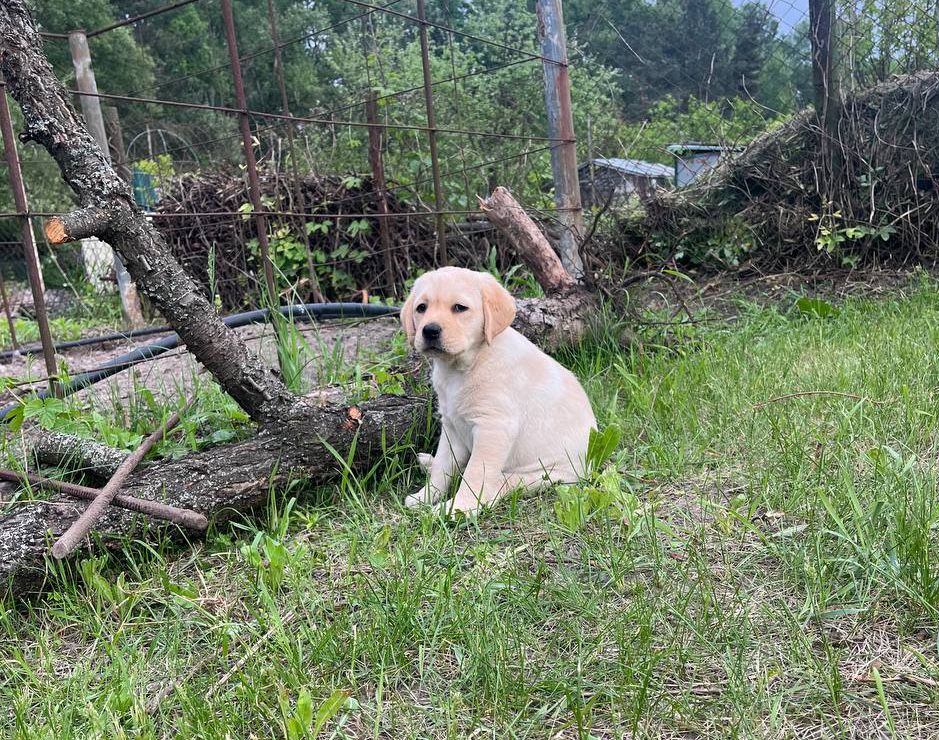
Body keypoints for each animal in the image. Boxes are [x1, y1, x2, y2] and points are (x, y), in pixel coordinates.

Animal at [402, 266, 596, 516]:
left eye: (459, 308)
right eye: (421, 308)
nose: (430, 330)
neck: (466, 364)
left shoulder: (494, 428)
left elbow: (475, 474)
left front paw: (458, 508)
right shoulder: (451, 427)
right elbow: (443, 466)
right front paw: (425, 496)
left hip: (541, 475)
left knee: (497, 485)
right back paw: (427, 461)